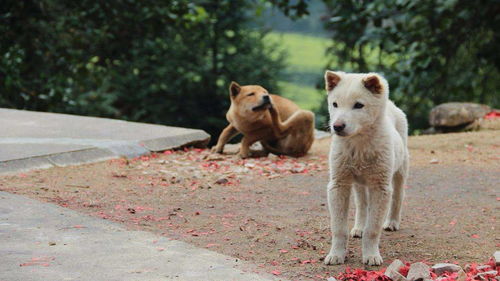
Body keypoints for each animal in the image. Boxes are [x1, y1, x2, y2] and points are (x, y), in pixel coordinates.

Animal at [324, 70, 410, 264]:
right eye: (335, 104)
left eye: (358, 105)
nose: (337, 126)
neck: (359, 144)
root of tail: (391, 105)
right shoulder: (338, 184)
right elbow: (338, 228)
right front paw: (336, 255)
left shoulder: (380, 187)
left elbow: (373, 229)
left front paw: (371, 255)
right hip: (358, 182)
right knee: (362, 204)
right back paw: (359, 227)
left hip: (400, 171)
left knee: (398, 197)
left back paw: (392, 222)